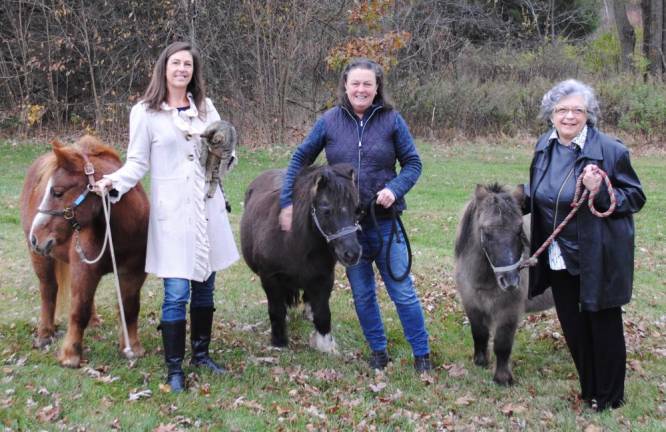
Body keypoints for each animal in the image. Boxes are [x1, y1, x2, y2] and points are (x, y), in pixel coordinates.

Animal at [20, 136, 148, 368]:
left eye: (57, 192)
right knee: (48, 290)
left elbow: (130, 307)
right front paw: (71, 354)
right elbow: (79, 310)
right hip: (41, 258)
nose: (36, 237)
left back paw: (95, 322)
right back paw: (44, 334)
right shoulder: (84, 270)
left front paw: (132, 347)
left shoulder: (134, 273)